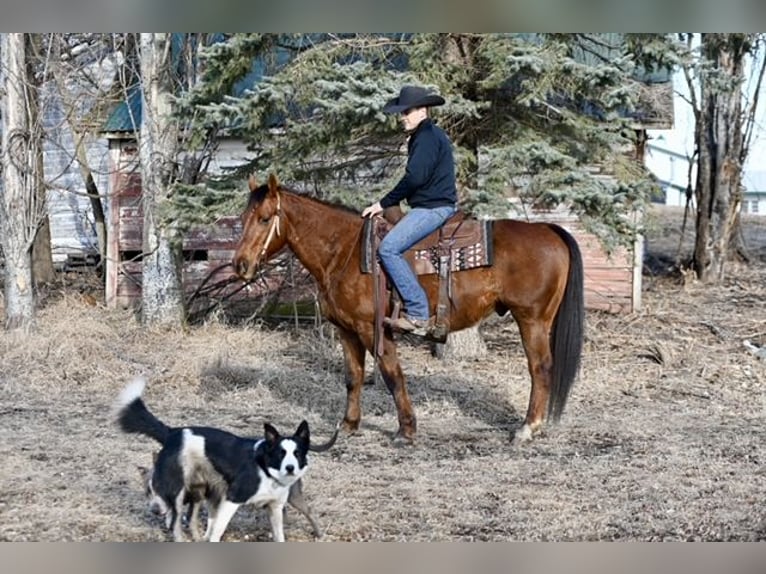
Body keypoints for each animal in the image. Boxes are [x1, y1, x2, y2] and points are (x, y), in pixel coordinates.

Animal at [115, 378, 338, 544]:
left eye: (297, 453)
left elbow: (279, 536)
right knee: (176, 520)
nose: (290, 468)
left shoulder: (275, 508)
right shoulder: (232, 499)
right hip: (178, 487)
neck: (266, 471)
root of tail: (173, 432)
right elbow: (217, 530)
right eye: (280, 453)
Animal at [231, 174, 584, 446]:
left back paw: (527, 427)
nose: (240, 265)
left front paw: (406, 429)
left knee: (540, 368)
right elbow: (353, 377)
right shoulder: (346, 330)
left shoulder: (372, 328)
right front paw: (348, 425)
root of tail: (550, 230)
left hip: (532, 319)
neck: (344, 251)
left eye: (265, 218)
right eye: (243, 219)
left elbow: (392, 375)